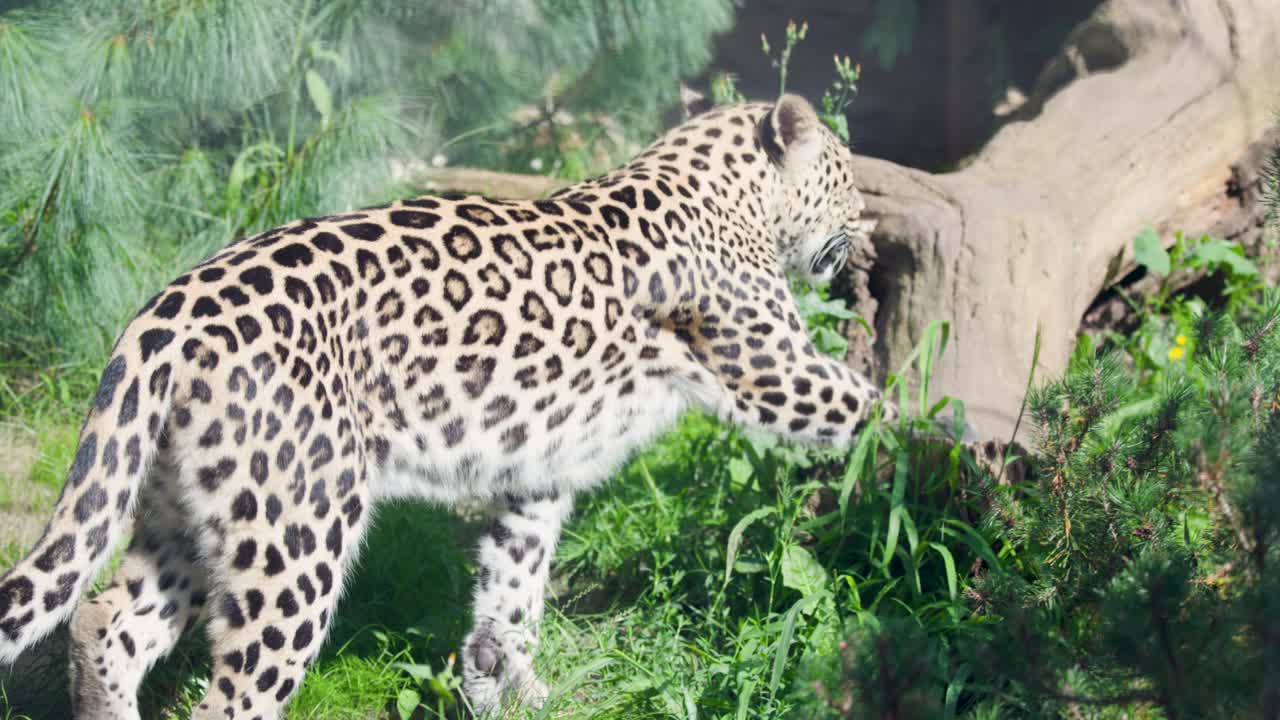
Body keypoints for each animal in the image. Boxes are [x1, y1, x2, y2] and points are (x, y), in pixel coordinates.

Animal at [0, 93, 896, 719]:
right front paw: (925, 455)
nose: (870, 227)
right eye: (846, 177)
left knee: (103, 619)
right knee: (235, 691)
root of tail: (166, 313)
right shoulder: (773, 366)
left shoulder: (535, 473)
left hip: (188, 510)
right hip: (296, 533)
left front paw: (510, 687)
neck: (724, 189)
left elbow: (511, 589)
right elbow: (873, 405)